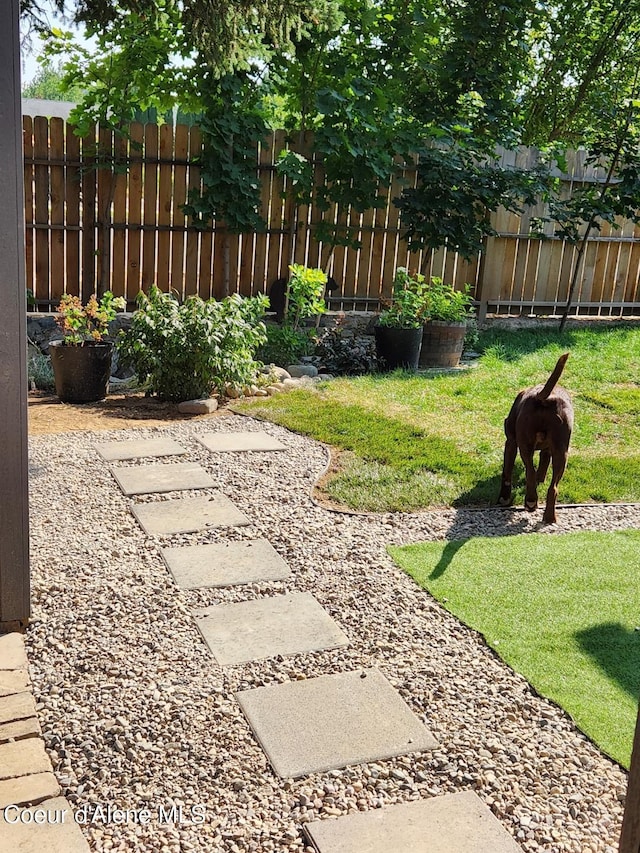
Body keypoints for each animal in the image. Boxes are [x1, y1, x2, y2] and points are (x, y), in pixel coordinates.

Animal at [498, 350, 572, 524]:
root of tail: (544, 398)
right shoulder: (548, 450)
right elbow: (543, 467)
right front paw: (541, 479)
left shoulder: (511, 443)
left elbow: (507, 472)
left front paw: (504, 498)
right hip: (562, 451)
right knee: (553, 488)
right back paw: (549, 517)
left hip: (524, 445)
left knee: (530, 472)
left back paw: (530, 502)